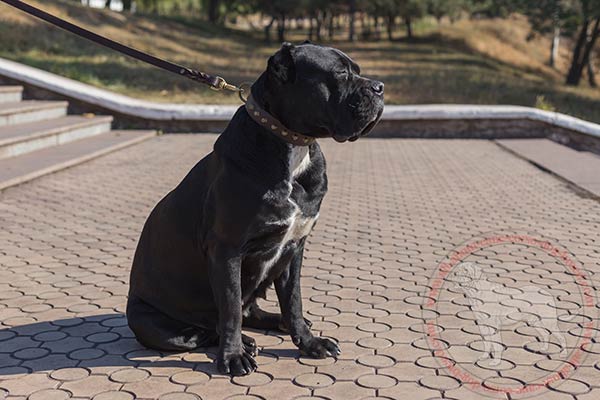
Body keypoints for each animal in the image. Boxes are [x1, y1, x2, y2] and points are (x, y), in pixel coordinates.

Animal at [126, 42, 384, 376]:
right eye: (340, 73)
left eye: (358, 71)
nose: (379, 87)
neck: (293, 146)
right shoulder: (227, 251)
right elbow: (231, 310)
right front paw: (233, 356)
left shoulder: (294, 248)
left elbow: (294, 301)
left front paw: (309, 342)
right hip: (153, 324)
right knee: (205, 329)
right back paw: (244, 343)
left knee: (249, 312)